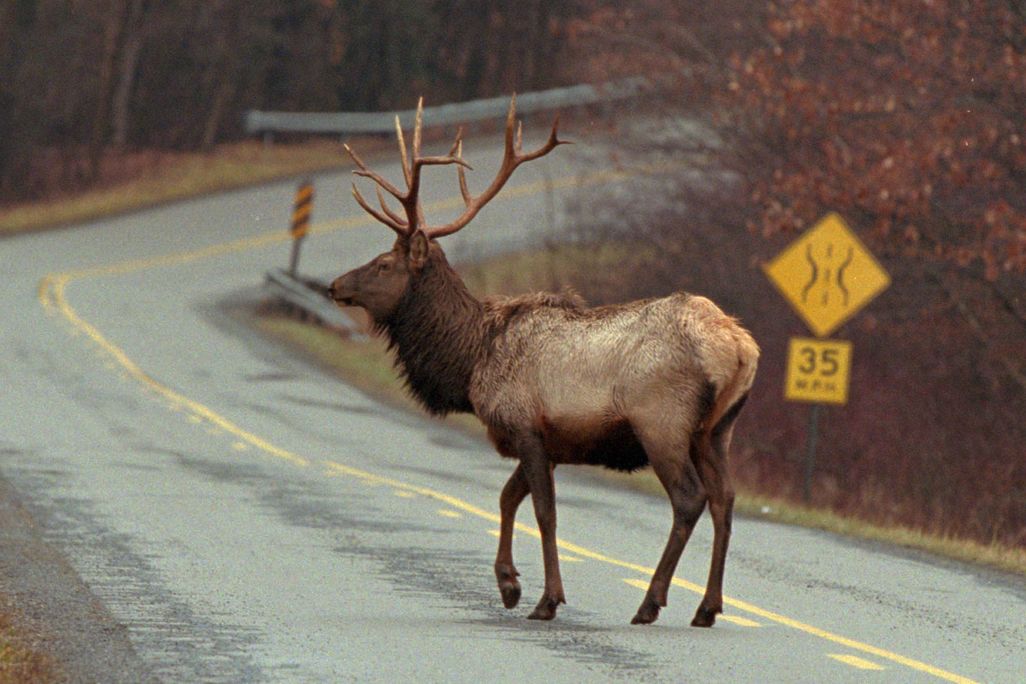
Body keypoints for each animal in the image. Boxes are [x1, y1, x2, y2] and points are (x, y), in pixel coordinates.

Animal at [329, 95, 759, 626]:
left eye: (384, 264)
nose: (335, 285)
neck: (471, 363)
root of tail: (738, 347)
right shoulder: (545, 440)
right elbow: (506, 497)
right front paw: (509, 584)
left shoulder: (525, 426)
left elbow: (544, 513)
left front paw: (545, 599)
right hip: (717, 431)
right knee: (725, 499)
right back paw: (707, 607)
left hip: (663, 422)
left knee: (689, 498)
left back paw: (650, 602)